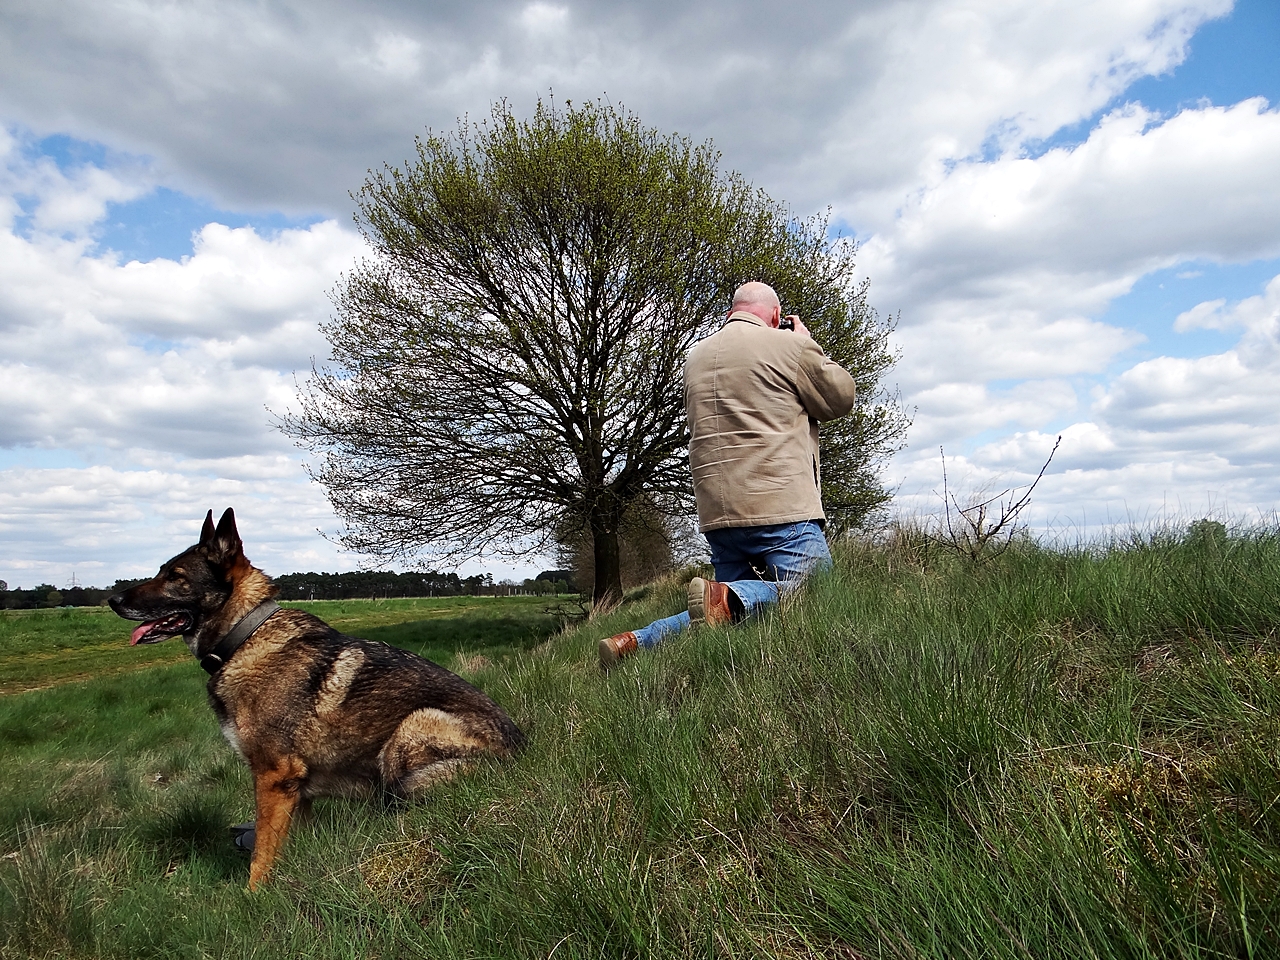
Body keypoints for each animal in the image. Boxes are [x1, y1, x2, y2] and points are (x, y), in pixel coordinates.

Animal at [110, 506, 524, 890]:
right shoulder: (295, 791)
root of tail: (520, 752)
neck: (243, 638)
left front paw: (252, 895)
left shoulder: (273, 777)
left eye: (175, 578)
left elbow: (262, 851)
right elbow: (287, 842)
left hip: (413, 726)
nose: (113, 599)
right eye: (161, 571)